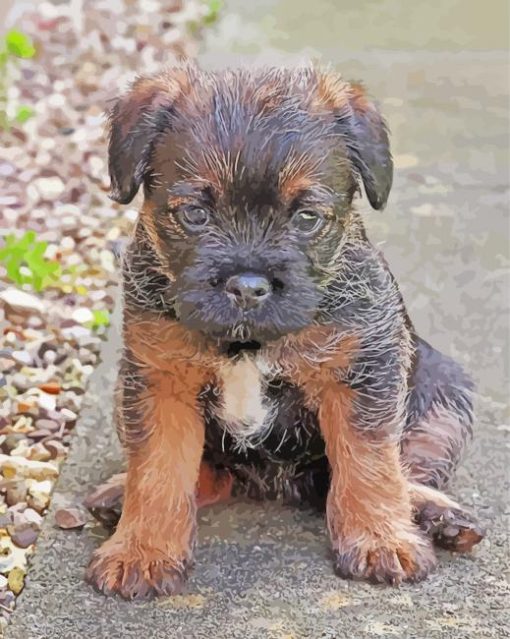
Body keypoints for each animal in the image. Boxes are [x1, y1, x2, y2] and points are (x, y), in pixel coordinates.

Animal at [85, 63, 484, 600]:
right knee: (208, 475)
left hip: (444, 396)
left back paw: (435, 513)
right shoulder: (157, 381)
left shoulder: (364, 372)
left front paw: (380, 538)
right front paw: (143, 549)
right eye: (195, 214)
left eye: (307, 217)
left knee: (409, 467)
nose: (248, 287)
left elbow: (370, 462)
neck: (247, 341)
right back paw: (118, 493)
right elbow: (158, 469)